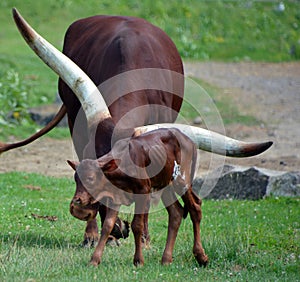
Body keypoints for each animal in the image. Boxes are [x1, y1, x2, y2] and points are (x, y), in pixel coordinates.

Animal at [68, 128, 209, 266]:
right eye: (76, 179)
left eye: (90, 178)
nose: (77, 201)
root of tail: (188, 140)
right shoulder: (115, 197)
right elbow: (108, 225)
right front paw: (94, 260)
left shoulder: (143, 193)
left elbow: (137, 225)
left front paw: (138, 260)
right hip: (165, 185)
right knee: (176, 213)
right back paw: (166, 259)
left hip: (182, 180)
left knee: (195, 208)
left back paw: (201, 256)